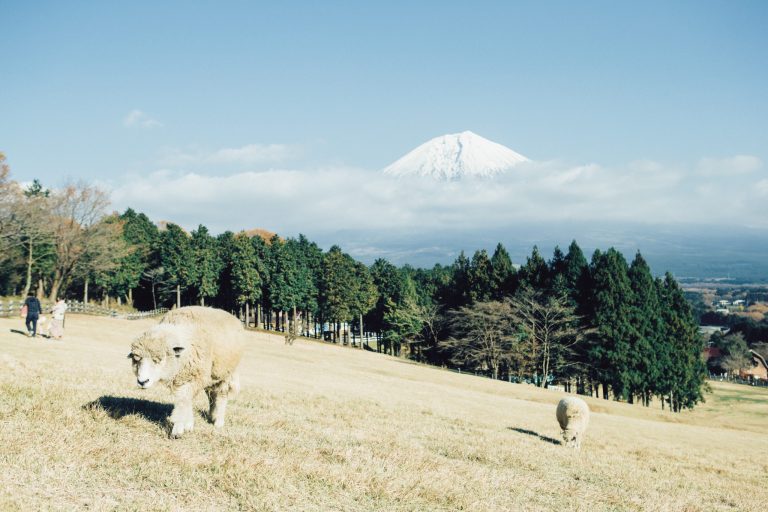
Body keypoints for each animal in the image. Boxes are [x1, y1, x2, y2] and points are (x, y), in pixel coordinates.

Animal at [127, 306, 244, 438]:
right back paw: (211, 415)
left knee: (221, 396)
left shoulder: (194, 378)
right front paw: (188, 425)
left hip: (226, 374)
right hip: (211, 376)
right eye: (136, 360)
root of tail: (232, 316)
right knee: (212, 395)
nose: (142, 382)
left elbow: (183, 401)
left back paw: (218, 421)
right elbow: (186, 401)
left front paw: (178, 430)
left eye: (159, 359)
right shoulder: (181, 379)